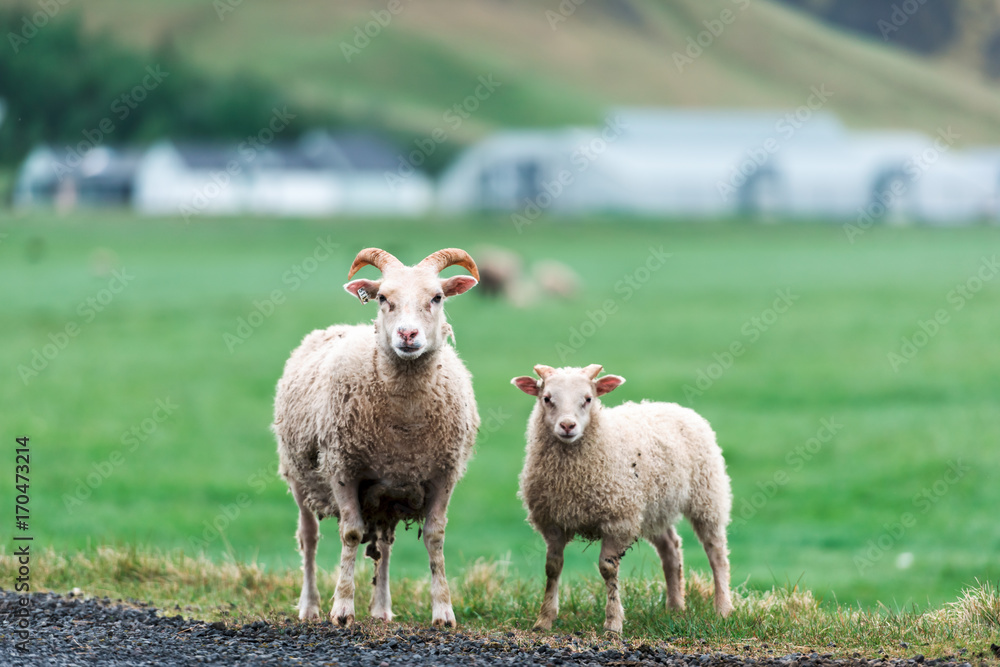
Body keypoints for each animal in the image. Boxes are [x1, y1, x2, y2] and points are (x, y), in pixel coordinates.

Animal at [272, 248, 478, 628]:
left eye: (437, 297)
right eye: (382, 298)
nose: (408, 334)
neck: (405, 422)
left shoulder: (443, 474)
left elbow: (434, 537)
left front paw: (443, 611)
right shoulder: (343, 469)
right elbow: (351, 534)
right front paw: (342, 609)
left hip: (387, 495)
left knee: (383, 544)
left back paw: (382, 609)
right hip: (298, 476)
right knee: (309, 538)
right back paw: (309, 606)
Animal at [512, 366, 732, 632]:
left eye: (588, 399)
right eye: (546, 398)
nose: (567, 425)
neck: (572, 477)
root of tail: (673, 406)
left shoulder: (618, 520)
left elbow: (608, 569)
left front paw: (613, 622)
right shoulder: (553, 522)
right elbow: (552, 567)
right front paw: (544, 619)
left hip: (707, 496)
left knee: (716, 551)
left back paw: (723, 609)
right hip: (652, 510)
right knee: (670, 548)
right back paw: (675, 607)